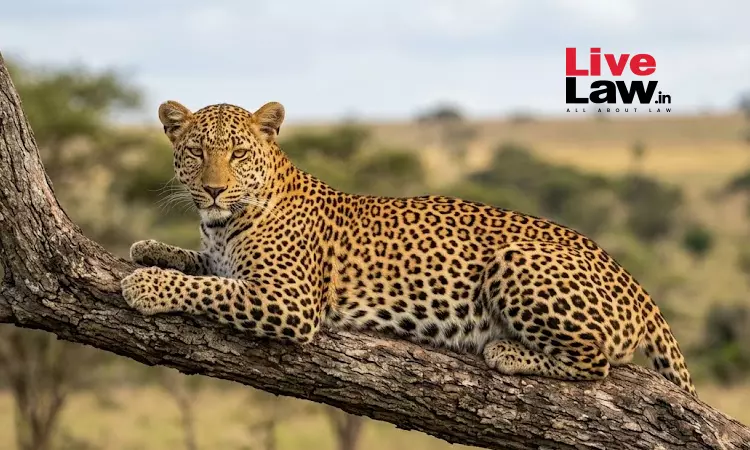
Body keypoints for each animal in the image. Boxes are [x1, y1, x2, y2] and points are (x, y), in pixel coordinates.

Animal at [121, 99, 697, 397]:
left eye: (239, 154)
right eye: (197, 152)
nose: (215, 189)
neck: (223, 222)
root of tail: (633, 281)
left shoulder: (290, 300)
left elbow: (212, 290)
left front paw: (147, 285)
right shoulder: (226, 260)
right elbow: (202, 267)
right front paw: (148, 248)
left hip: (516, 261)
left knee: (596, 363)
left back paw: (507, 351)